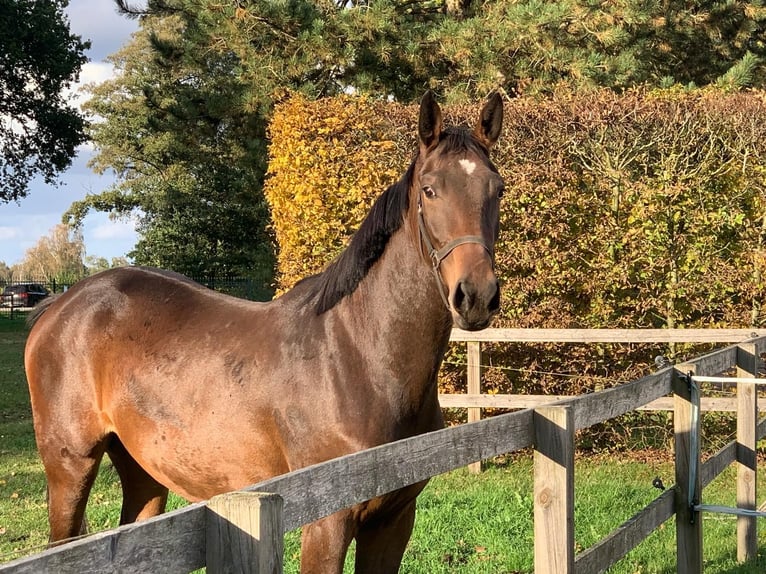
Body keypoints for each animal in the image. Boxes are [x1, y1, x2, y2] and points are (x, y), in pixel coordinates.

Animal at [24, 92, 508, 572]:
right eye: (429, 189)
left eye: (497, 189)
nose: (476, 295)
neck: (359, 358)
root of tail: (60, 303)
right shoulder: (327, 524)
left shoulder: (394, 519)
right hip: (70, 466)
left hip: (143, 471)